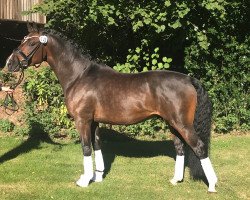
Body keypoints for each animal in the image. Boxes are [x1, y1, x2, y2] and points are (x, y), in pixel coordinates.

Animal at [5, 24, 217, 192]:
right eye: (23, 40)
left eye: (31, 44)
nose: (9, 64)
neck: (79, 76)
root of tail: (188, 79)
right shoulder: (94, 122)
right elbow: (97, 146)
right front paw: (97, 176)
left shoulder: (82, 120)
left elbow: (86, 148)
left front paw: (84, 180)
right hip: (172, 124)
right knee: (180, 148)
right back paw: (175, 180)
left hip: (182, 124)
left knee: (199, 147)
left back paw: (212, 186)